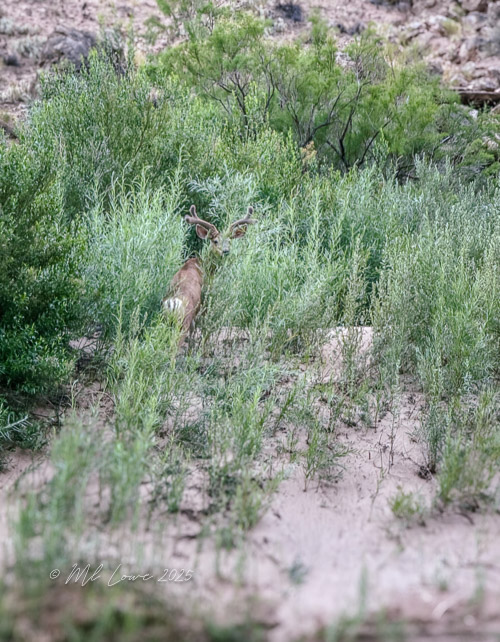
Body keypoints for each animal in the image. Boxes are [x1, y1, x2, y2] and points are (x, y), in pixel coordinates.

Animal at [162, 204, 256, 347]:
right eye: (215, 241)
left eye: (229, 241)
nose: (226, 251)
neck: (204, 268)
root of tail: (173, 303)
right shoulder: (205, 301)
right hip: (184, 321)